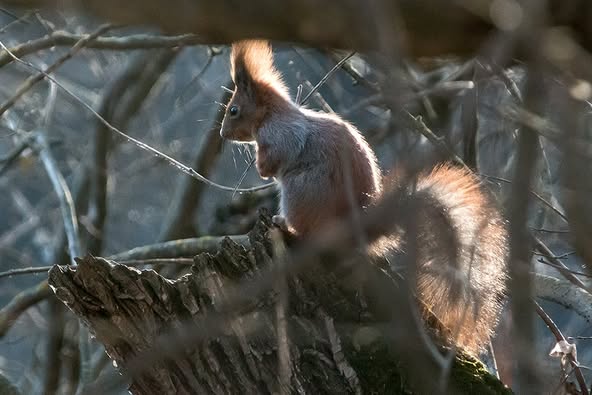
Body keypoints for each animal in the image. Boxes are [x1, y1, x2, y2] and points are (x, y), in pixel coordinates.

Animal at [217, 40, 508, 356]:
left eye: (233, 110)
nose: (222, 133)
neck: (273, 113)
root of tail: (355, 232)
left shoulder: (282, 134)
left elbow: (278, 156)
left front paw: (261, 167)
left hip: (300, 191)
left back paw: (284, 224)